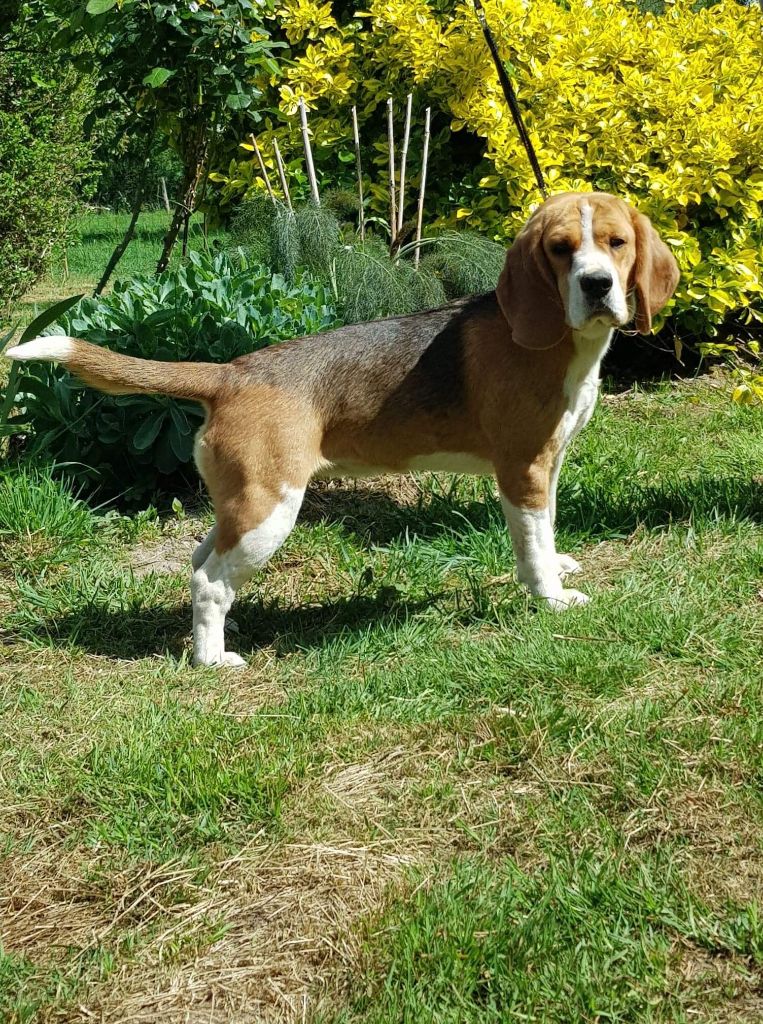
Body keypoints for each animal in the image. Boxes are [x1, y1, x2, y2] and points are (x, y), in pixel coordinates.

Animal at [7, 191, 680, 667]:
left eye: (616, 243)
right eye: (562, 249)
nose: (597, 284)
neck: (561, 343)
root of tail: (231, 372)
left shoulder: (549, 464)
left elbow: (548, 531)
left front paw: (558, 566)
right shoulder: (524, 469)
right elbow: (532, 545)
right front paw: (550, 597)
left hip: (243, 505)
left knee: (201, 560)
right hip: (270, 508)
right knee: (208, 579)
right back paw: (211, 659)